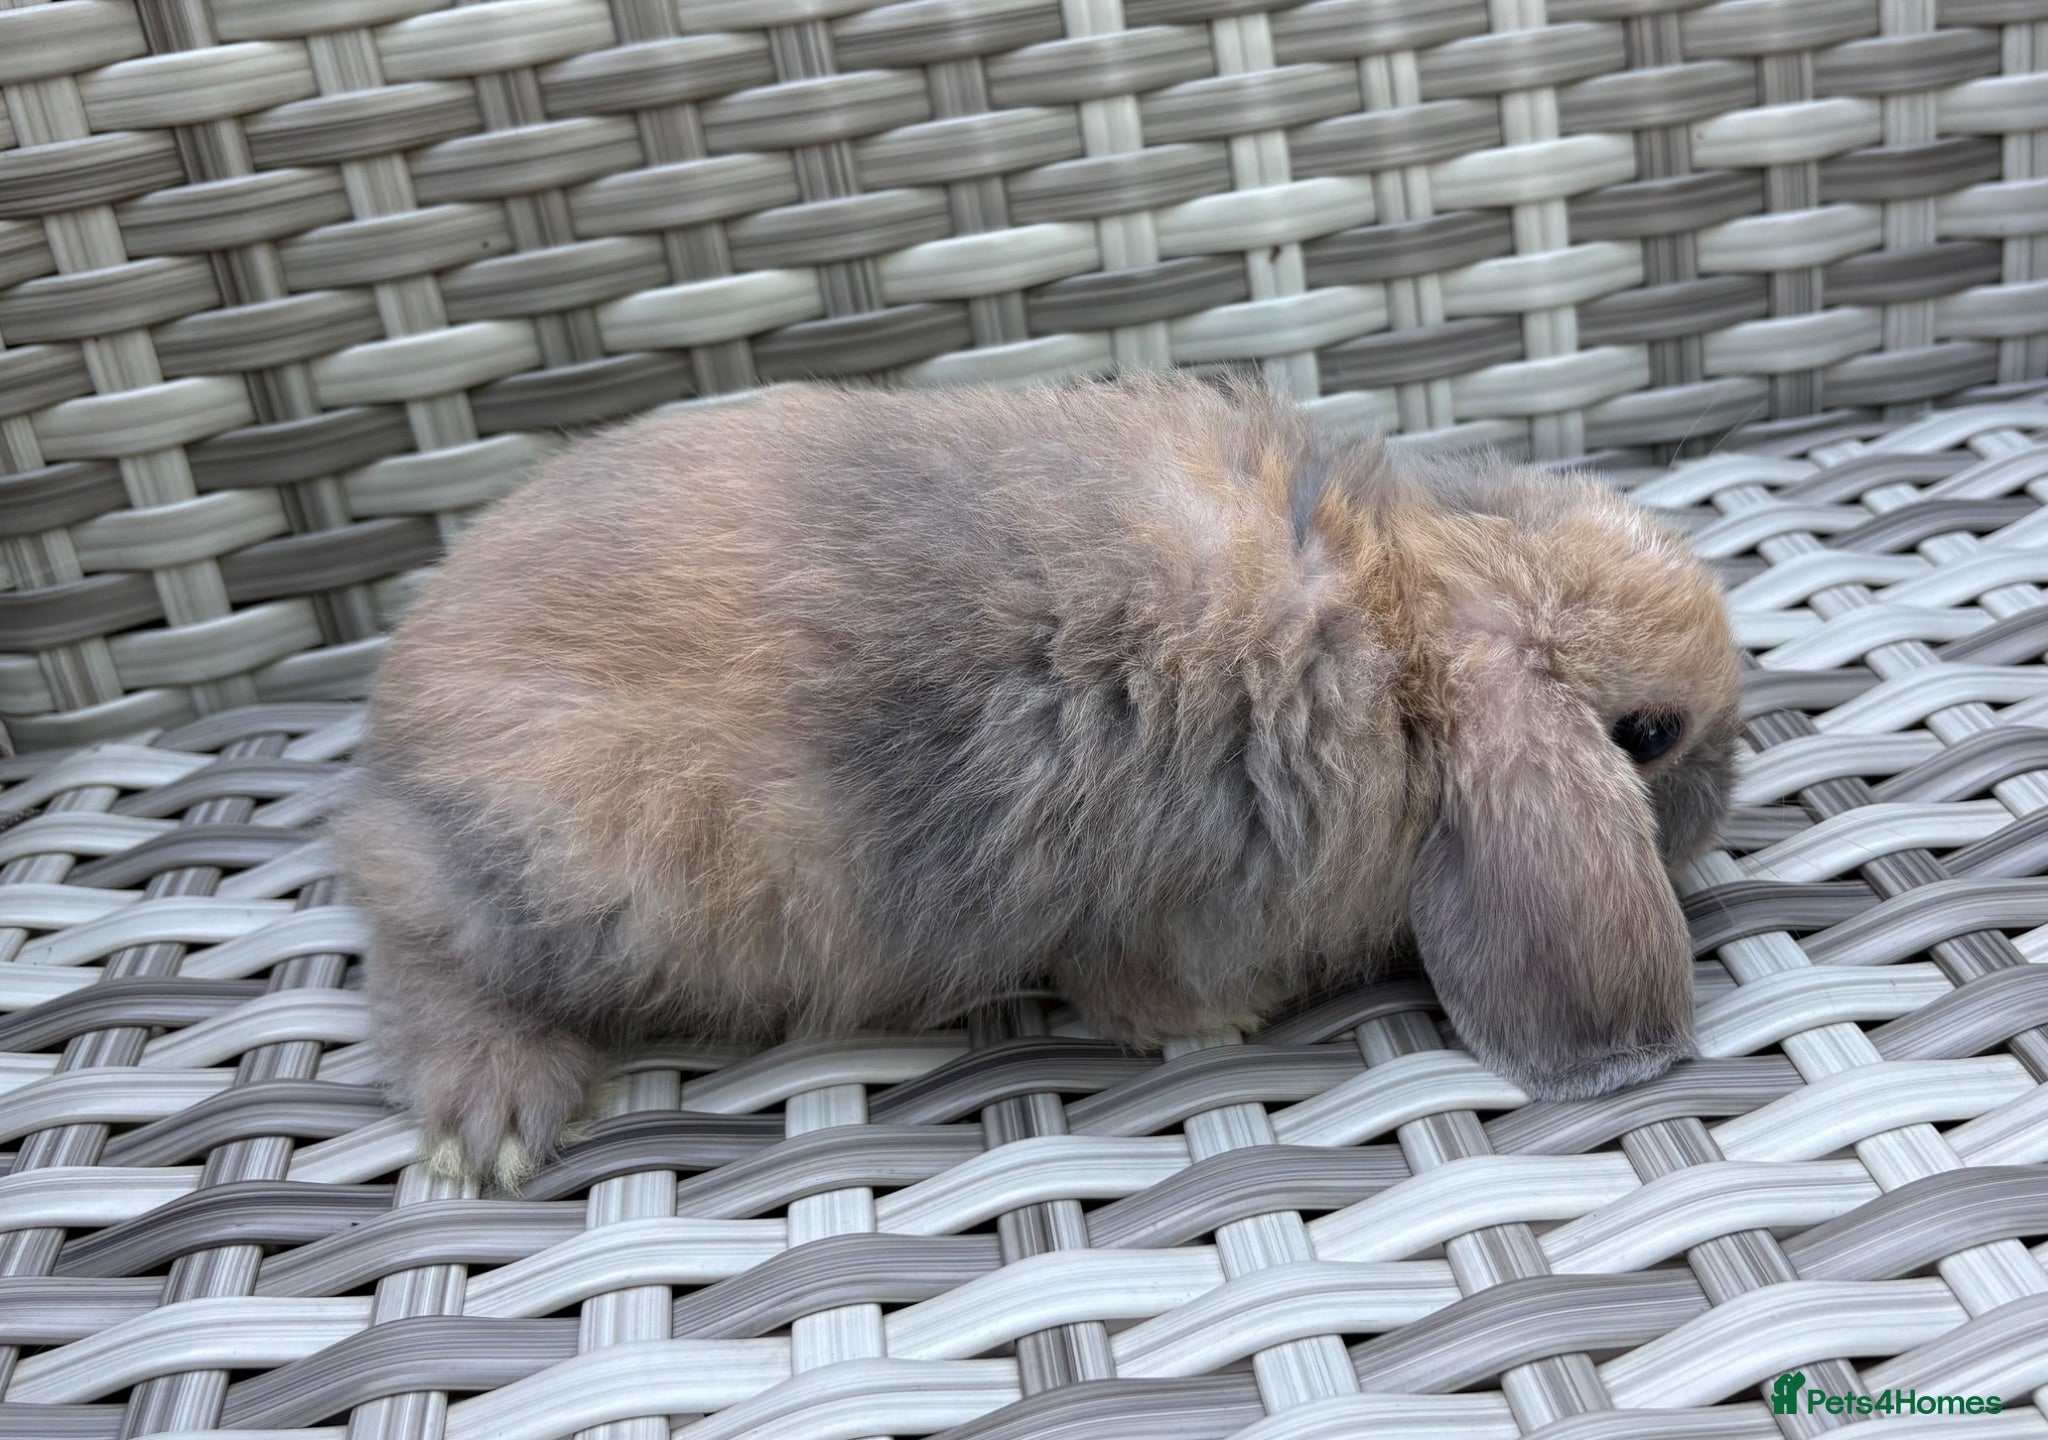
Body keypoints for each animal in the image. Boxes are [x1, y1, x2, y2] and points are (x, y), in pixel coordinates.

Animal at [329, 374, 1741, 1190]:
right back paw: (490, 1120)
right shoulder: (1170, 897)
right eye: (1647, 735)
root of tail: (387, 759)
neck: (1398, 636)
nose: (1730, 787)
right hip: (557, 885)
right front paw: (1230, 1018)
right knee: (420, 959)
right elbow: (1142, 988)